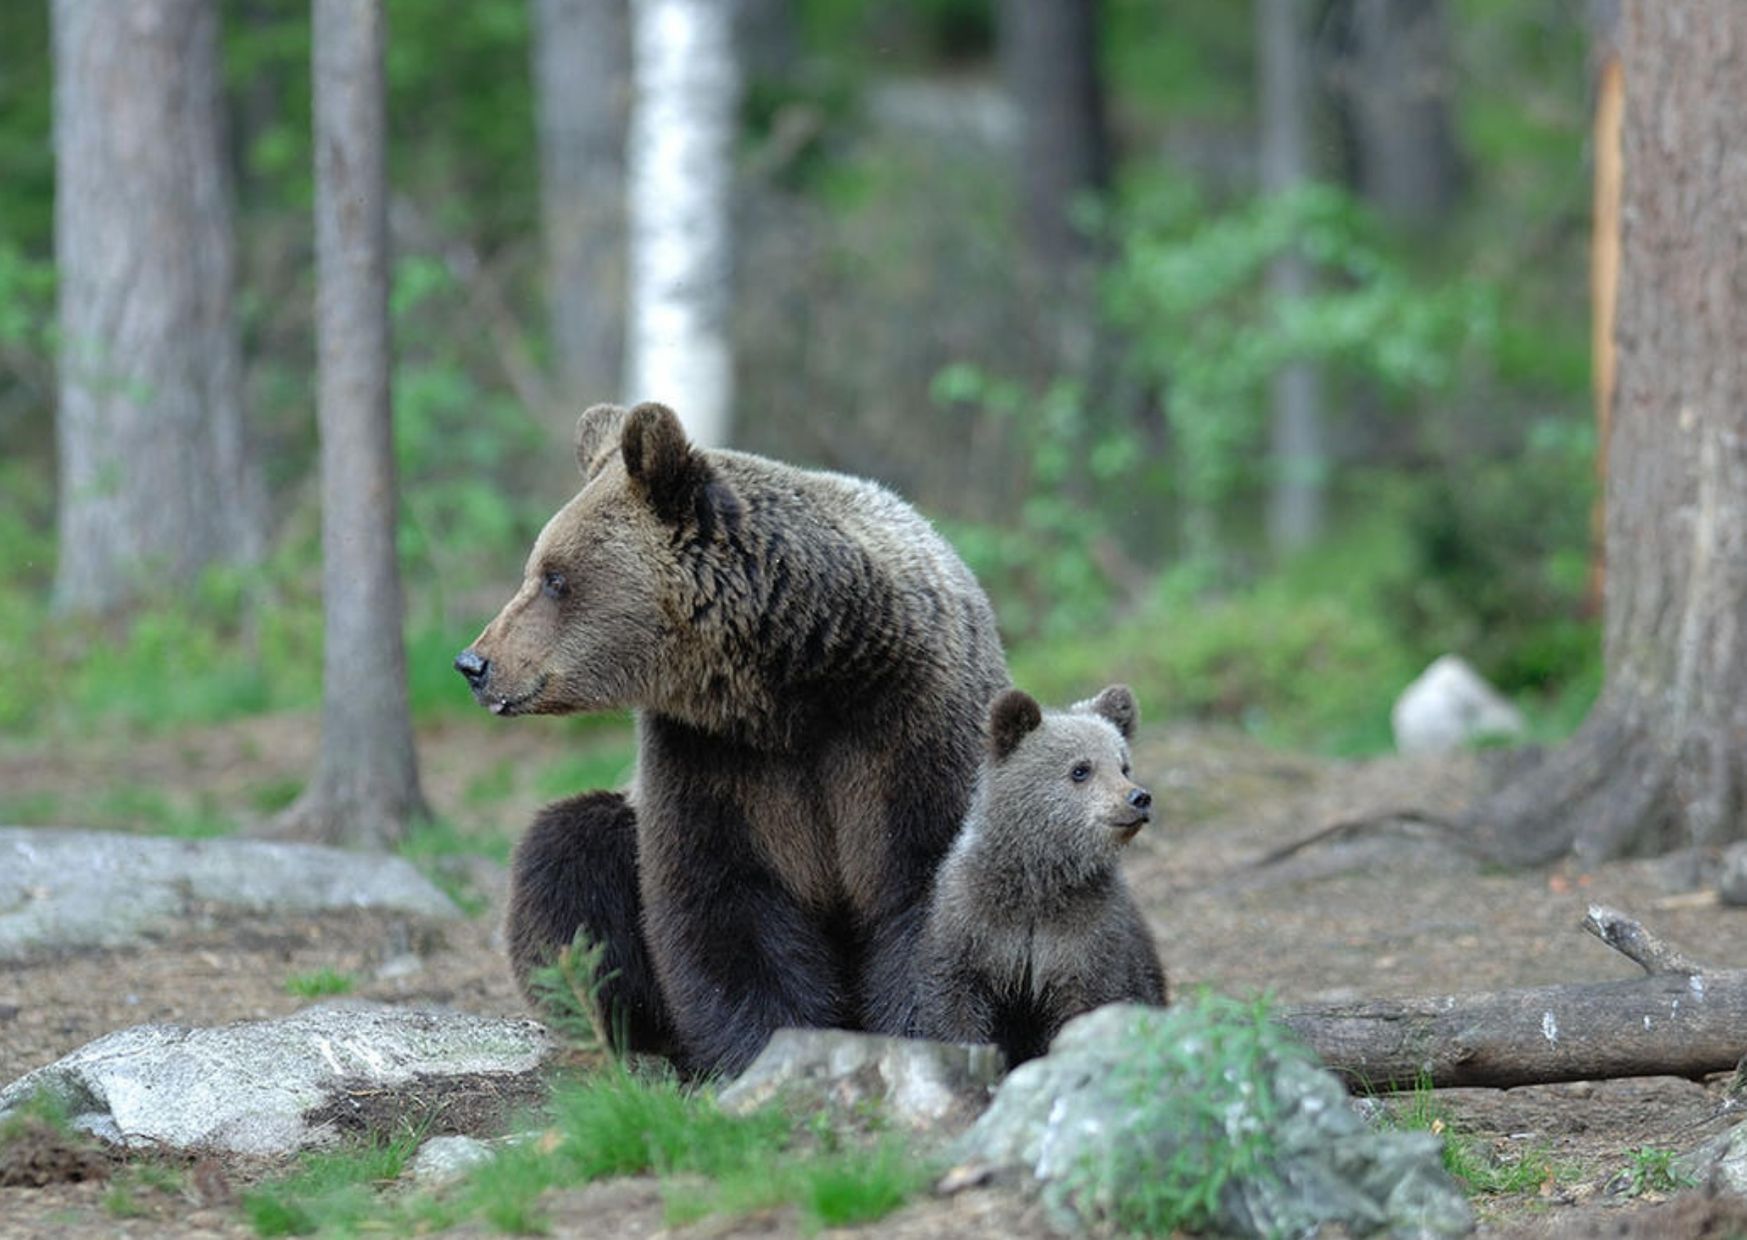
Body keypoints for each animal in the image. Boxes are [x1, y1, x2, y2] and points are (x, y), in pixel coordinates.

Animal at [455, 401, 1009, 1075]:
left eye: (555, 577)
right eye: (536, 570)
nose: (474, 663)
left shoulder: (908, 730)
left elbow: (926, 890)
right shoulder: (714, 757)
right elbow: (721, 900)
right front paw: (765, 1049)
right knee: (567, 847)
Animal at [910, 684, 1167, 1066]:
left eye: (1123, 765)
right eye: (1081, 769)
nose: (1138, 797)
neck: (1041, 876)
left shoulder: (1088, 935)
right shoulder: (972, 925)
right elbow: (954, 1004)